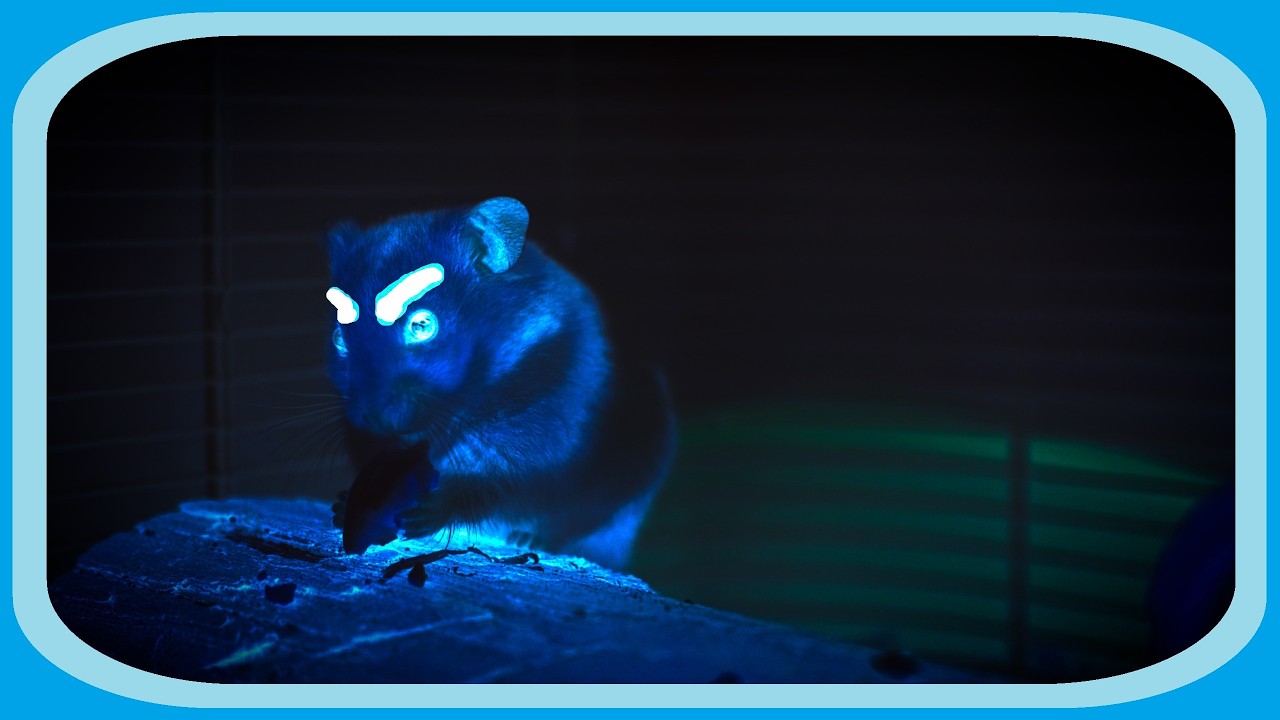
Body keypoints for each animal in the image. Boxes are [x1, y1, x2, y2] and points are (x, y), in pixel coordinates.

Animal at [325, 197, 674, 570]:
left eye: (421, 325)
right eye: (339, 338)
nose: (369, 420)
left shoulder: (531, 448)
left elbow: (485, 486)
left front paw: (422, 514)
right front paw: (342, 506)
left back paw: (529, 538)